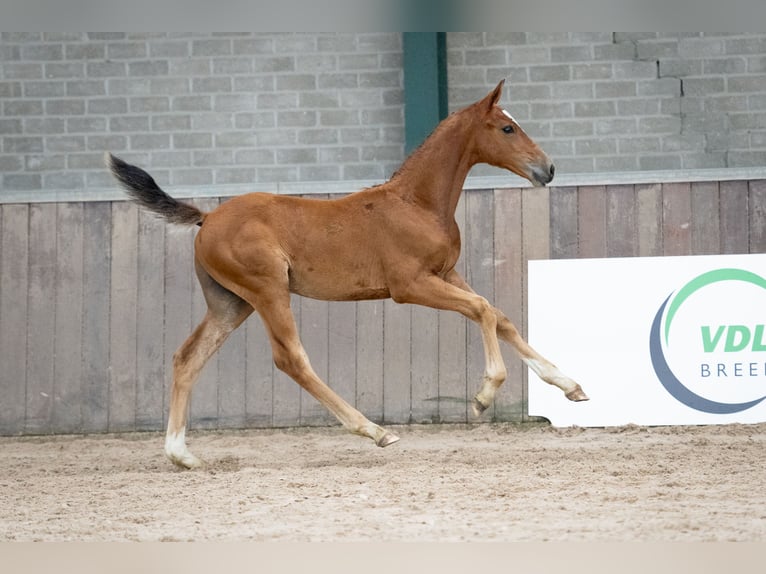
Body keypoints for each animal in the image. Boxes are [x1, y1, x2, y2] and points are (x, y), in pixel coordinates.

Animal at [108, 80, 588, 468]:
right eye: (507, 128)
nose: (547, 169)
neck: (416, 203)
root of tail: (206, 218)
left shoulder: (446, 273)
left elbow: (498, 315)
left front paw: (570, 386)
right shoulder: (410, 285)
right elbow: (483, 311)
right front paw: (484, 396)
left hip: (231, 302)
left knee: (188, 358)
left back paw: (182, 455)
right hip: (267, 291)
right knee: (291, 359)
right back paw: (375, 430)